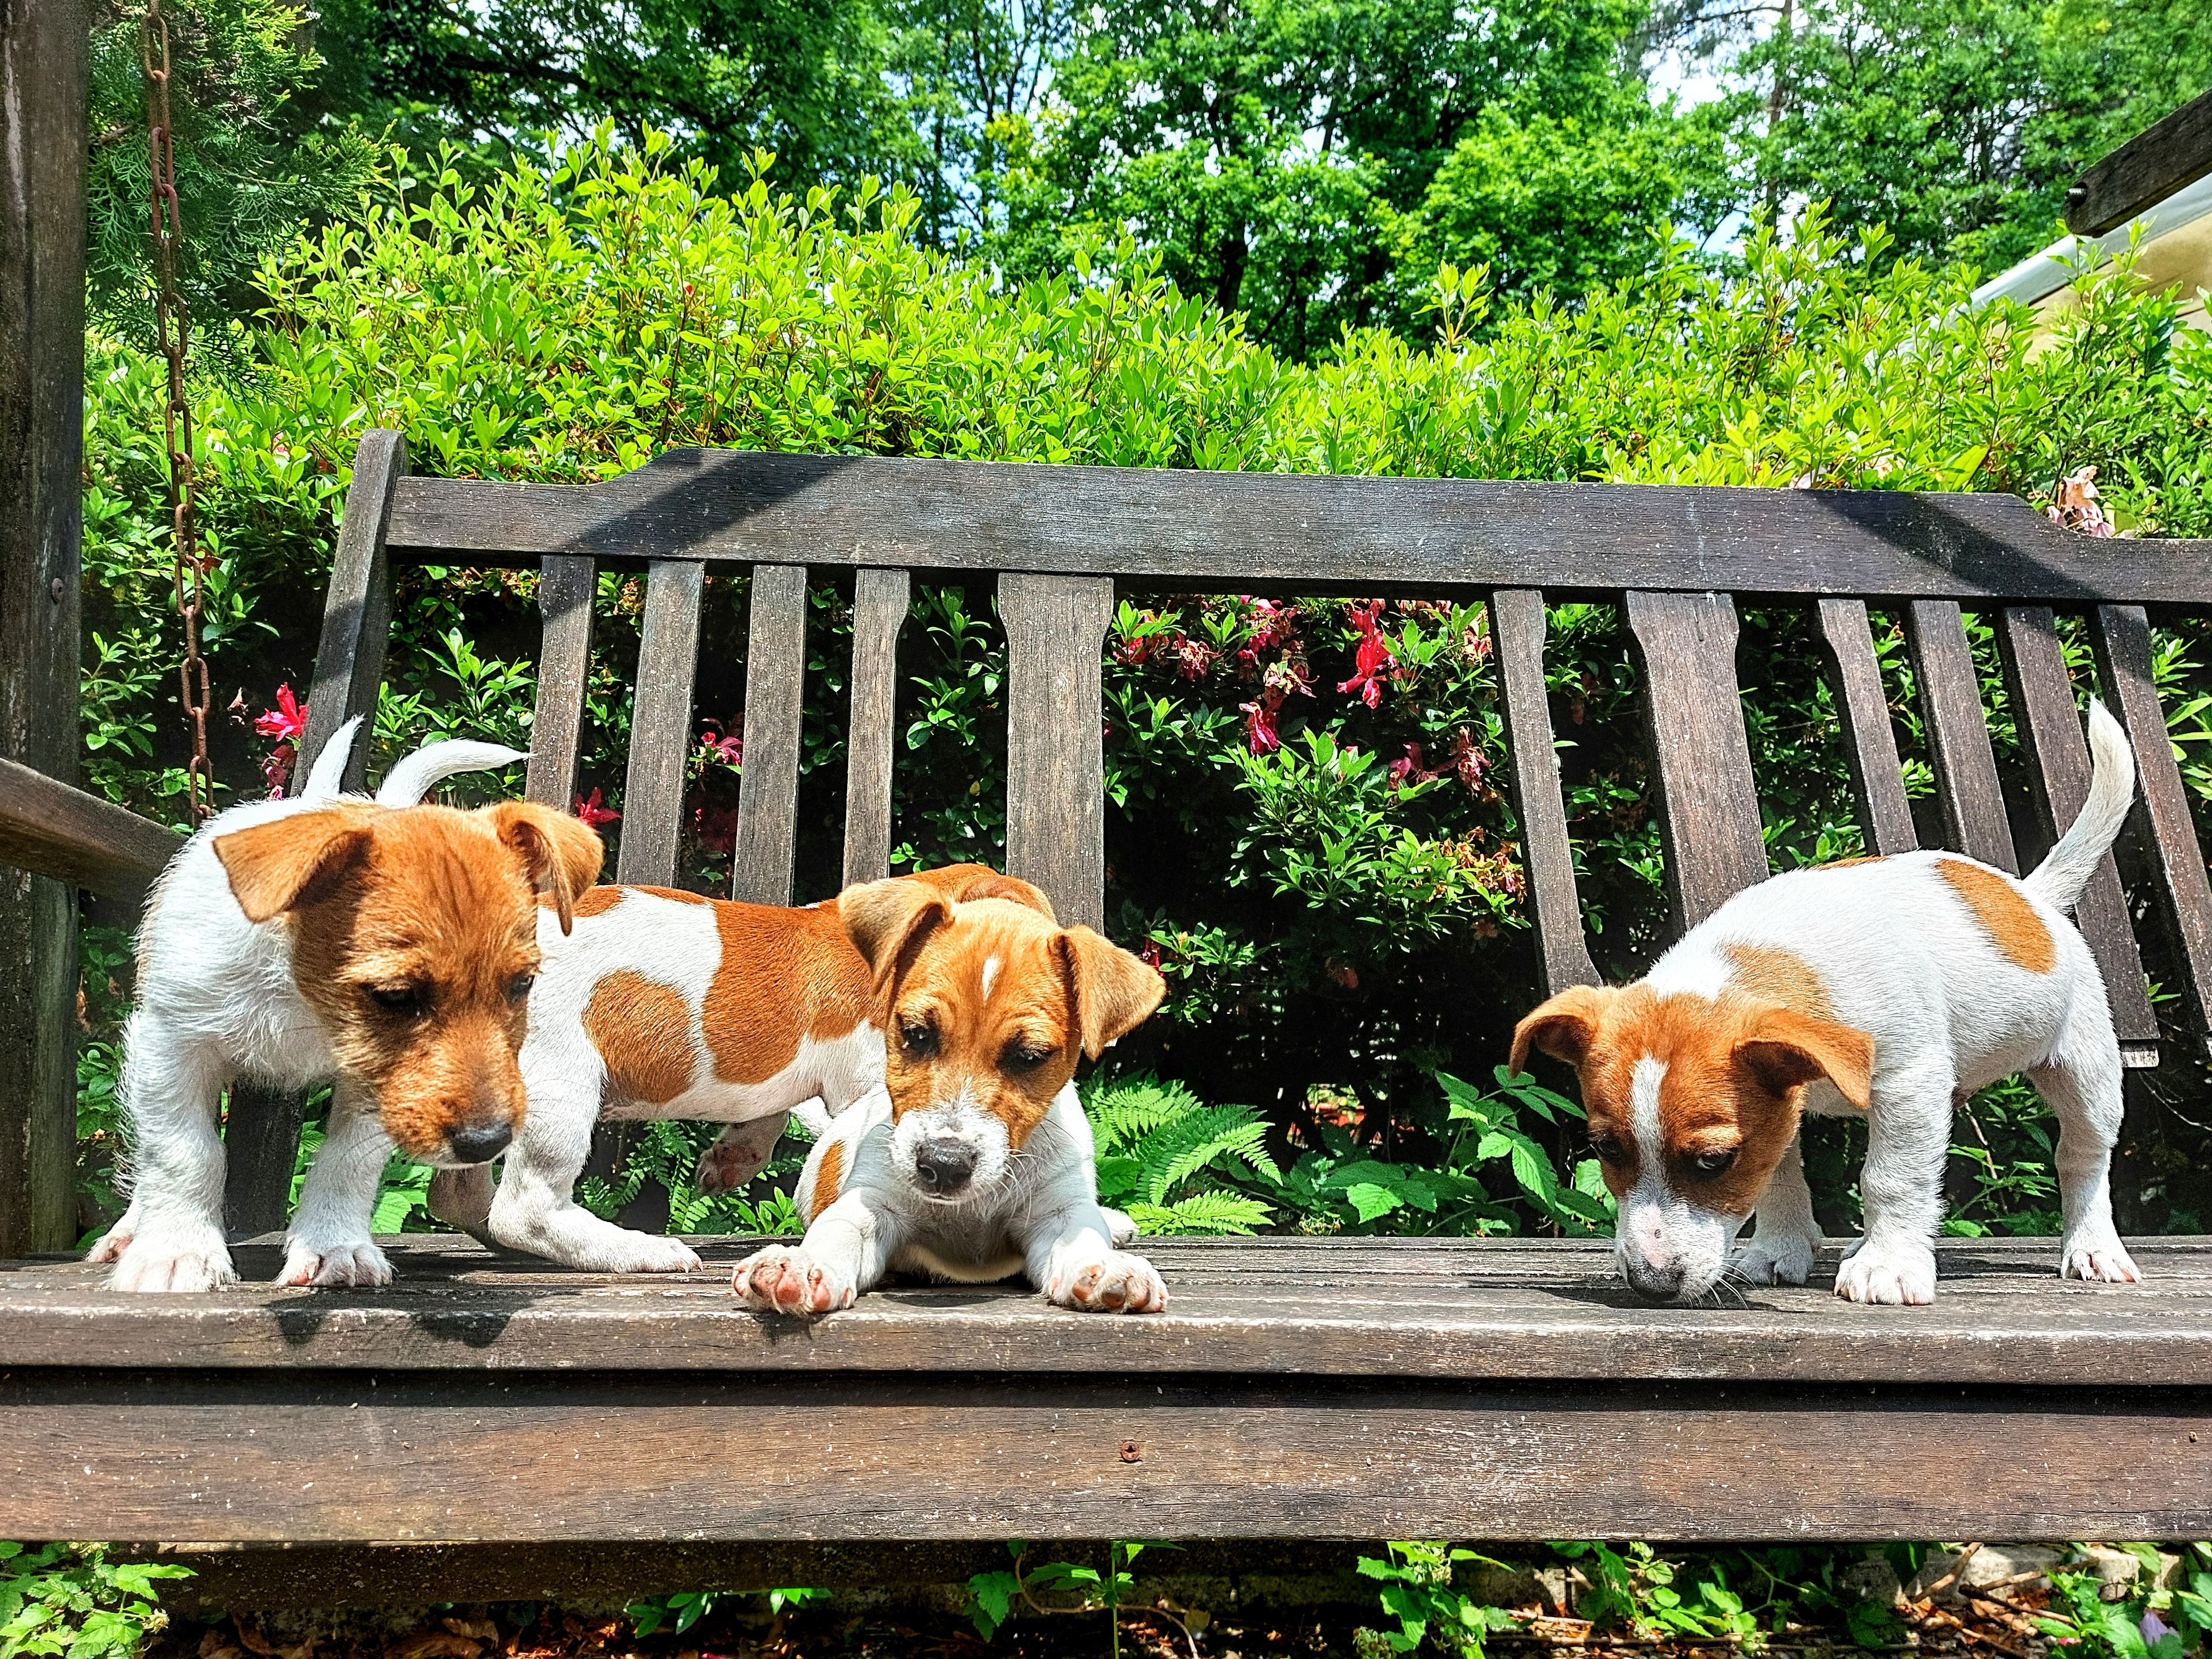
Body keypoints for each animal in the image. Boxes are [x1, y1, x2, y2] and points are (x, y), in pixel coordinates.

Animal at [91, 725, 601, 1300]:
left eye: (521, 985)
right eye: (396, 996)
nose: (487, 1143)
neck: (303, 1002)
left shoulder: (376, 1084)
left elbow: (347, 1160)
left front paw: (334, 1246)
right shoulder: (171, 1045)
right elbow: (184, 1151)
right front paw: (177, 1251)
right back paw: (132, 1230)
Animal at [427, 858, 1066, 1274]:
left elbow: (771, 1114)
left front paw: (733, 1157)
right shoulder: (871, 1082)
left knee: (459, 1198)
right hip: (561, 1084)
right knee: (526, 1210)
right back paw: (641, 1252)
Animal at [730, 876, 1176, 1318]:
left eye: (1029, 1057)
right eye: (916, 1034)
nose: (944, 1164)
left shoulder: (1058, 1211)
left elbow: (1079, 1237)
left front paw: (1104, 1268)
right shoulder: (872, 1203)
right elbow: (838, 1231)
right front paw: (802, 1265)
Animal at [1513, 694, 2132, 1309]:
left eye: (1713, 1161)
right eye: (1607, 1149)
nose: (1651, 1285)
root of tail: (2032, 898)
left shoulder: (1909, 1083)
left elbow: (1890, 1178)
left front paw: (1888, 1266)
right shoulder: (1778, 1107)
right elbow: (1780, 1177)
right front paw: (1778, 1249)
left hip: (2086, 1076)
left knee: (2083, 1158)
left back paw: (2093, 1246)